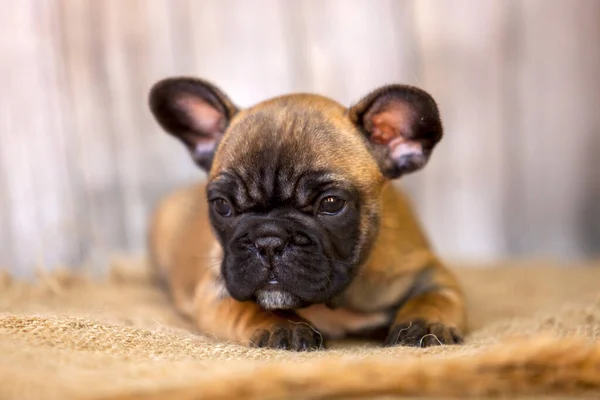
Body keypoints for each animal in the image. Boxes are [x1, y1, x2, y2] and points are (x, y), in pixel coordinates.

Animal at [148, 76, 466, 352]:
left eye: (331, 203)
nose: (268, 240)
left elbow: (435, 296)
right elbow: (248, 307)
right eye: (222, 205)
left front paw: (424, 323)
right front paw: (284, 325)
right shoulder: (216, 291)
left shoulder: (428, 269)